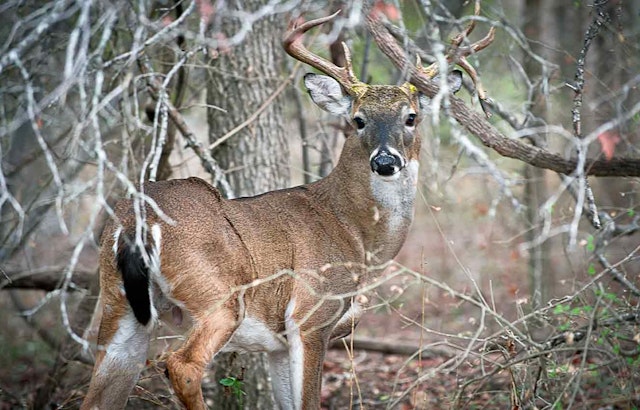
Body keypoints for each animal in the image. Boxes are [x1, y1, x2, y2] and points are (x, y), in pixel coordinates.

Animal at [80, 9, 491, 410]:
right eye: (358, 120)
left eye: (411, 117)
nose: (385, 161)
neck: (355, 232)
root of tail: (137, 221)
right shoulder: (311, 315)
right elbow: (309, 401)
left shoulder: (276, 344)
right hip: (217, 295)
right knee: (182, 365)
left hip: (119, 305)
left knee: (100, 391)